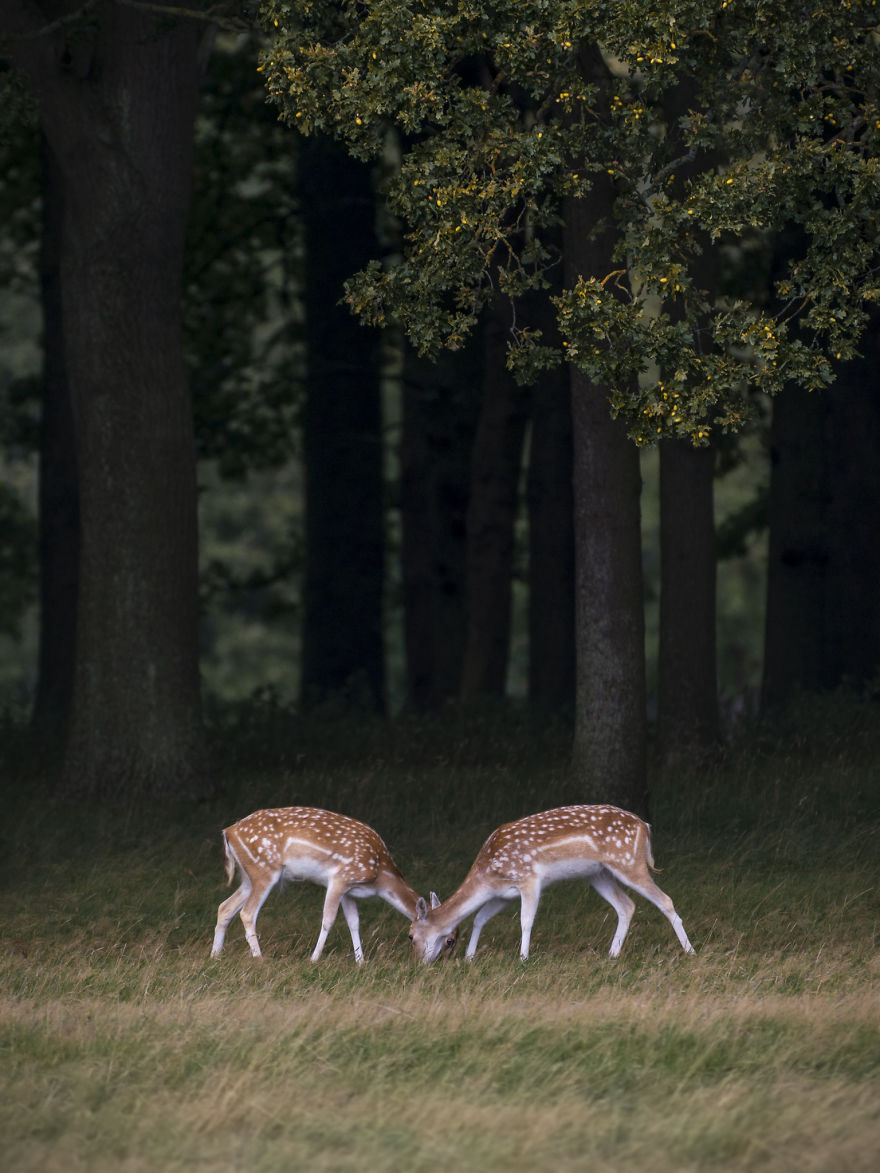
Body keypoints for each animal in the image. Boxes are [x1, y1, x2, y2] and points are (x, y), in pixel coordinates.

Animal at [211, 806, 454, 963]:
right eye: (450, 940)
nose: (440, 963)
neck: (380, 876)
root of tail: (228, 832)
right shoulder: (340, 878)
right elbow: (328, 920)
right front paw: (314, 959)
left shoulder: (349, 891)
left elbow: (354, 922)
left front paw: (360, 961)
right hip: (264, 870)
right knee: (247, 912)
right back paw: (260, 959)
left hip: (248, 876)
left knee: (225, 907)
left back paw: (215, 955)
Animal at [408, 804, 695, 963]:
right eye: (451, 939)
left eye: (410, 935)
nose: (418, 963)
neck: (487, 872)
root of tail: (645, 827)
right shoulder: (502, 894)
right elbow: (480, 918)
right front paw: (470, 958)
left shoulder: (529, 880)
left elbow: (526, 921)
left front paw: (523, 958)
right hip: (598, 874)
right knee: (626, 905)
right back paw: (611, 954)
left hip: (629, 863)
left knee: (665, 900)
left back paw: (690, 951)